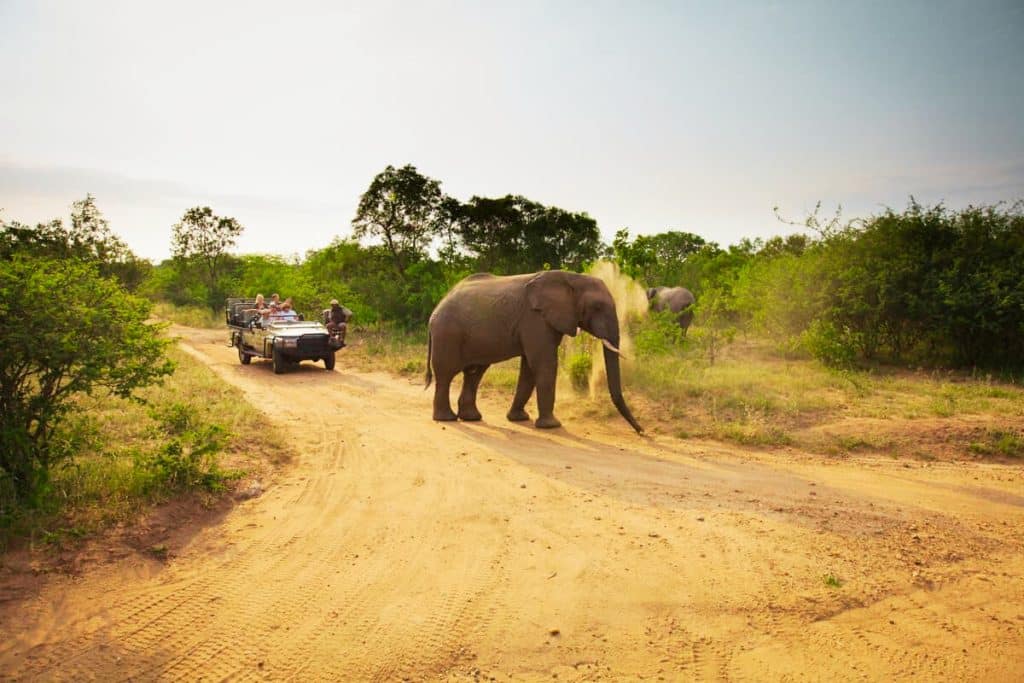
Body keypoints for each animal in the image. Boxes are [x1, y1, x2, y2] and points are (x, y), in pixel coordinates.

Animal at [428, 270, 643, 436]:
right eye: (597, 307)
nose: (641, 431)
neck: (572, 278)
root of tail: (436, 309)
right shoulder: (535, 319)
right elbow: (544, 363)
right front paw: (552, 426)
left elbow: (529, 368)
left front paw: (519, 419)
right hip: (447, 333)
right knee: (446, 374)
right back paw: (447, 419)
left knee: (474, 373)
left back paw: (471, 418)